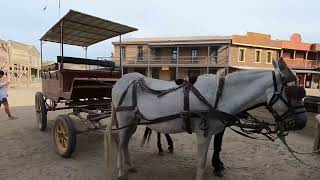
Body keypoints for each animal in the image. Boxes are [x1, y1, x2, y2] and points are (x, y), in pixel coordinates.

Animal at [105, 58, 308, 179]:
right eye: (291, 92)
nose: (303, 122)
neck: (220, 95)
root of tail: (122, 81)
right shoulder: (203, 133)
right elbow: (201, 163)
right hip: (125, 120)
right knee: (120, 142)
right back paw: (121, 171)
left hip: (133, 122)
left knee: (124, 142)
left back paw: (130, 166)